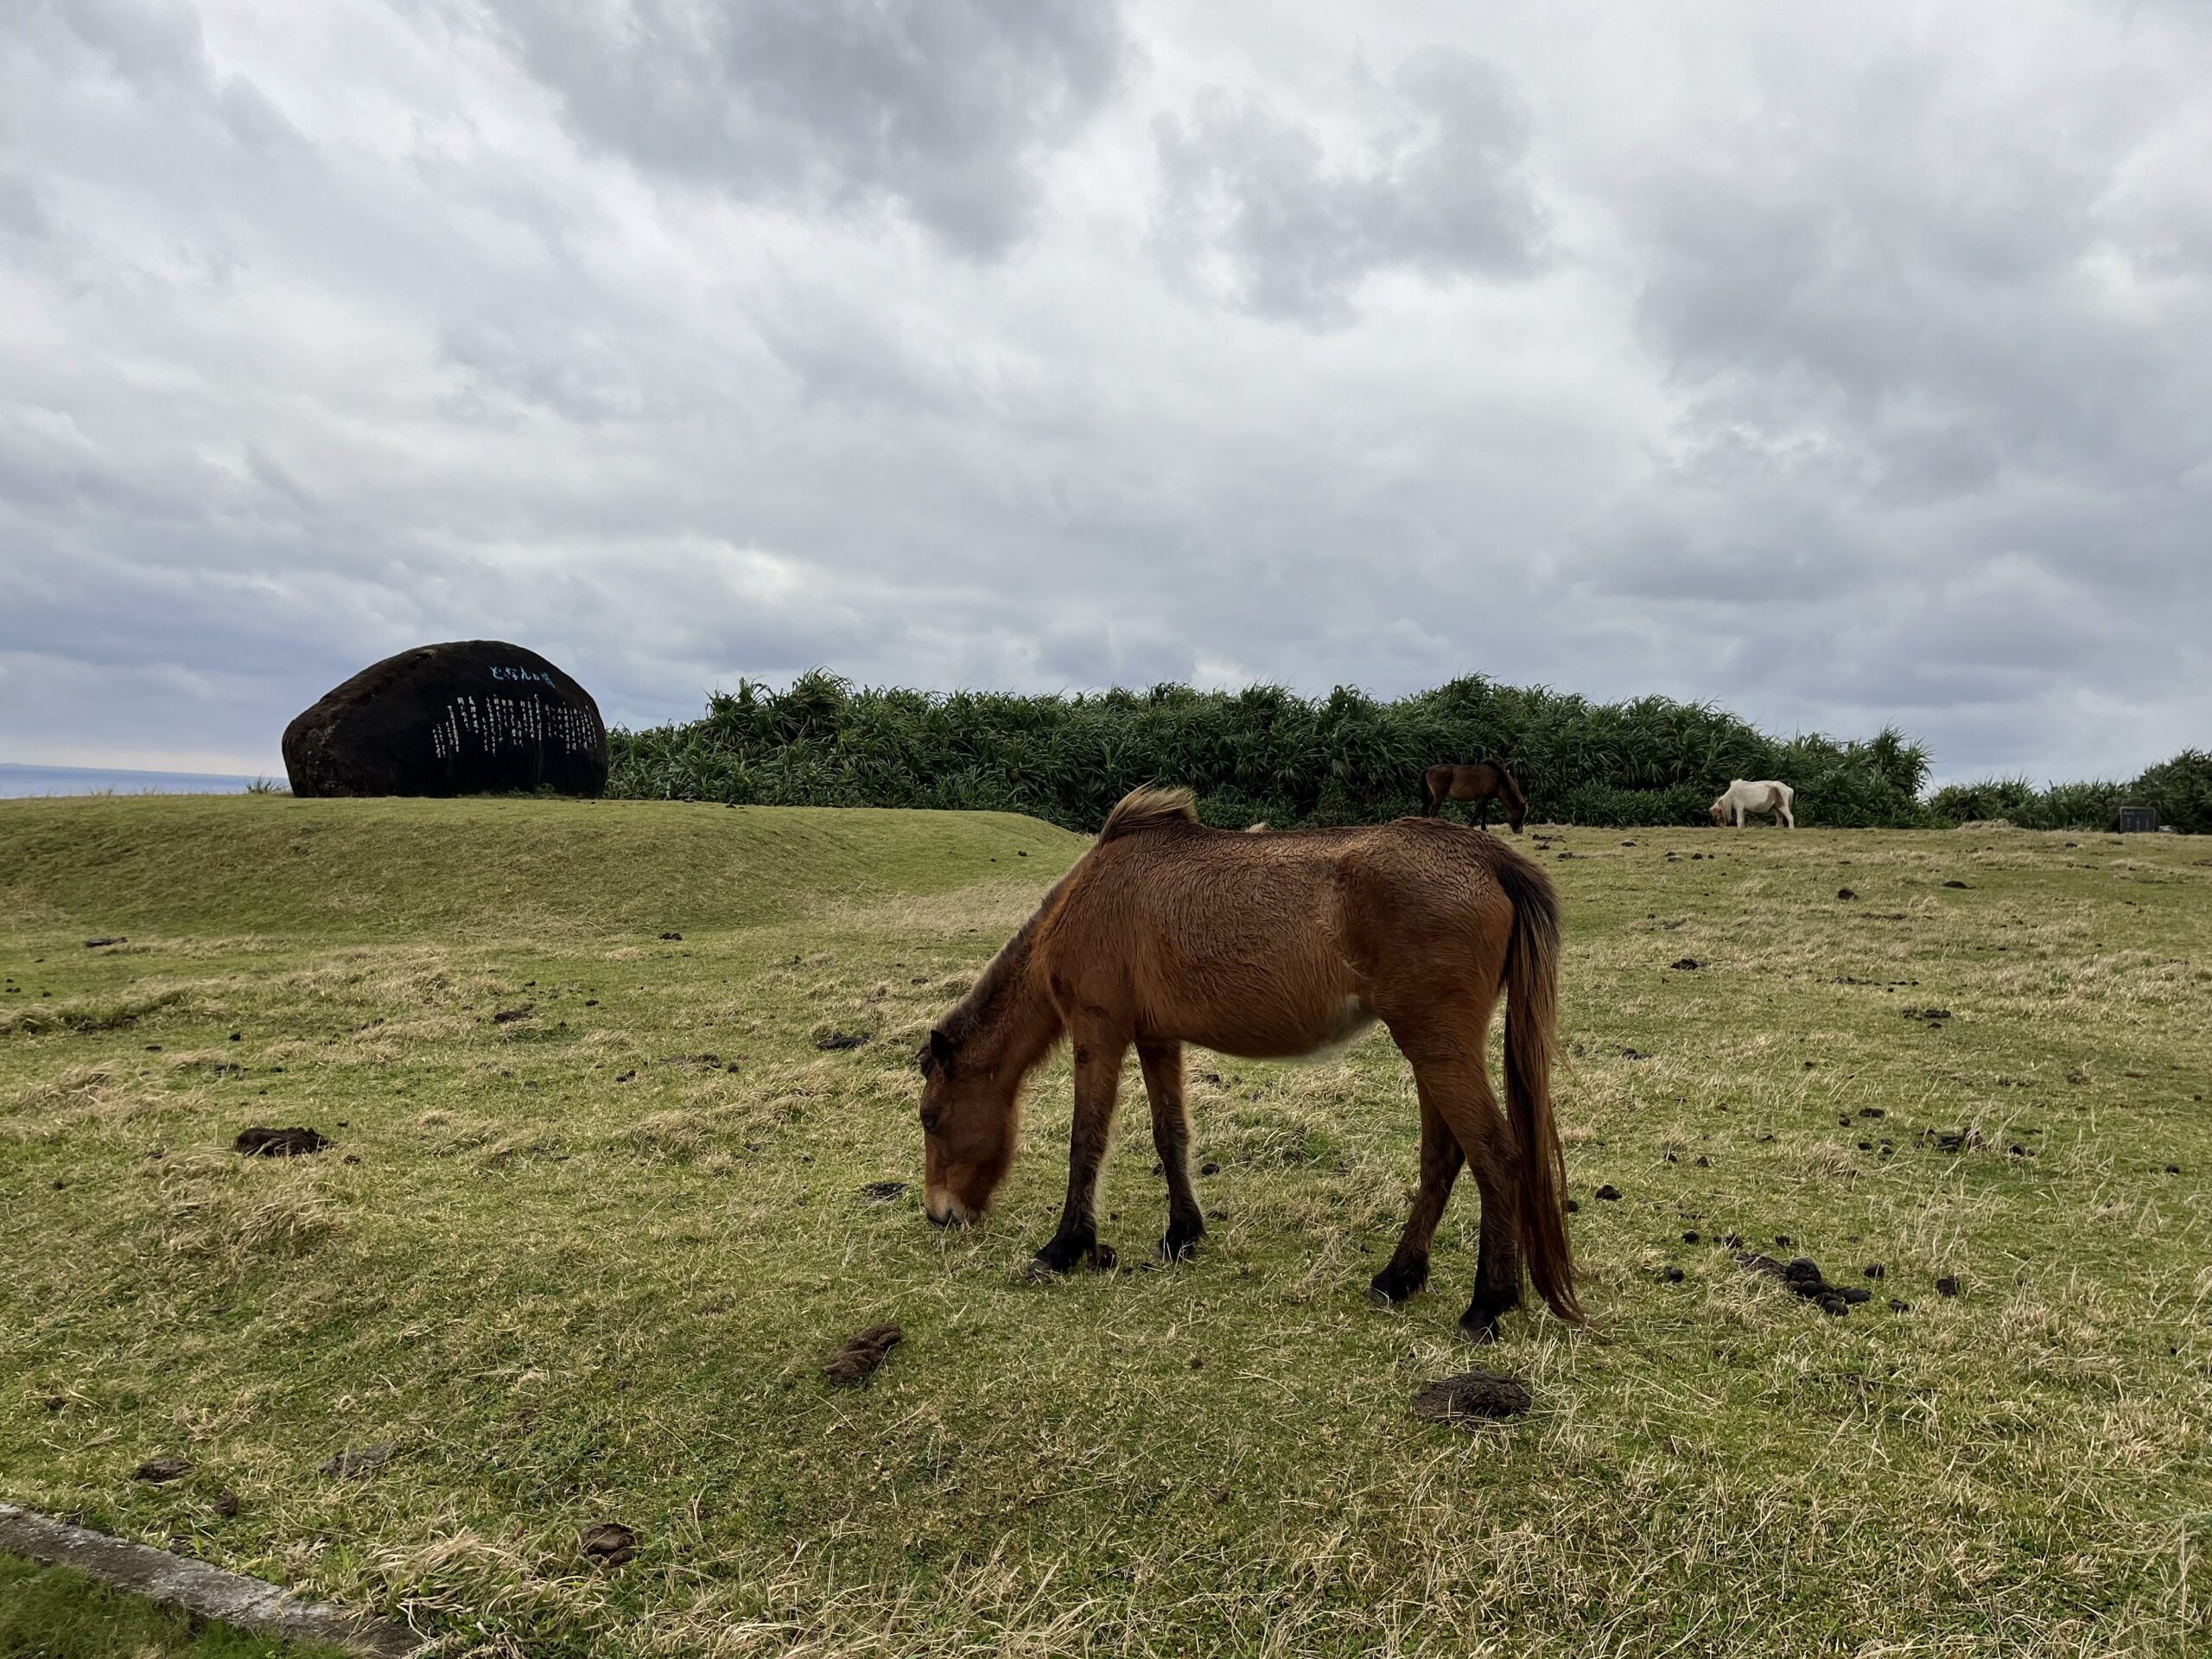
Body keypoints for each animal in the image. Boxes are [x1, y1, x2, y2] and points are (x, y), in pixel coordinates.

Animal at [919, 787, 1592, 1344]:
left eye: (930, 1119)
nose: (939, 1214)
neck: (1092, 896)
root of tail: (1486, 856)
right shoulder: (1157, 1040)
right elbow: (1170, 1134)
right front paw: (1181, 1234)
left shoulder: (1099, 1032)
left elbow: (1086, 1139)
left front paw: (1064, 1247)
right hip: (1432, 1051)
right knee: (1444, 1157)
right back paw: (1399, 1276)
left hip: (1436, 1046)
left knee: (1495, 1156)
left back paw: (1486, 1304)